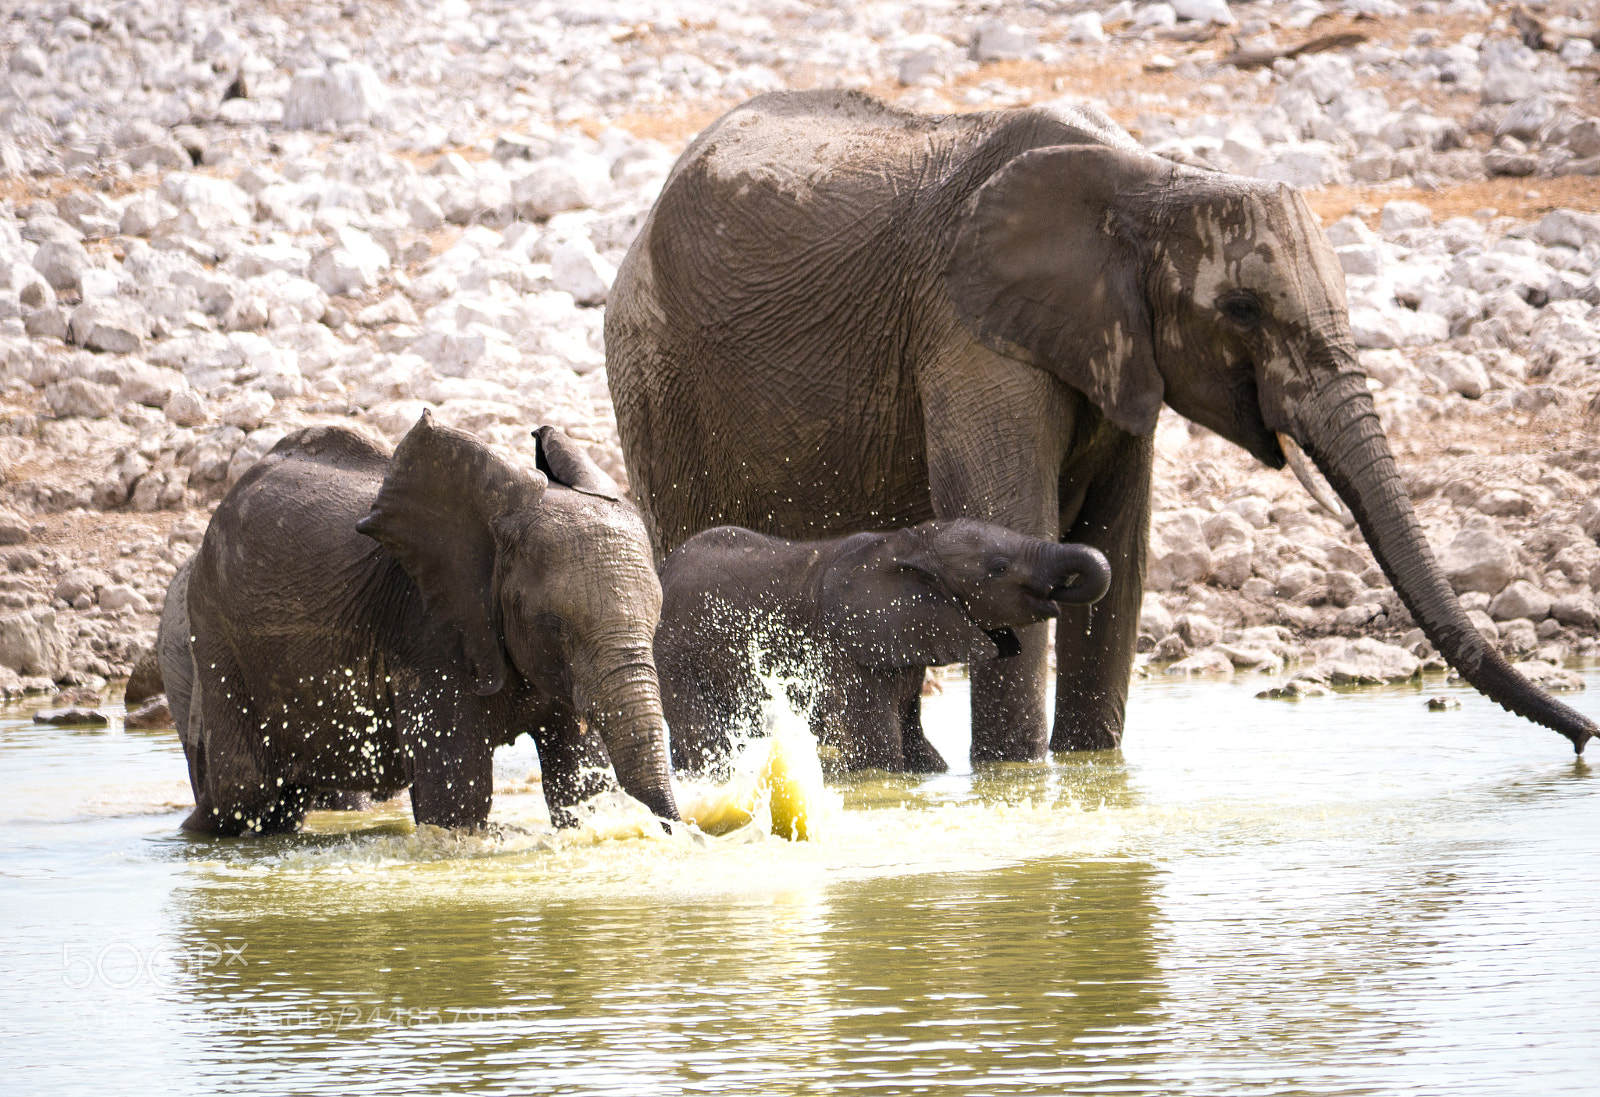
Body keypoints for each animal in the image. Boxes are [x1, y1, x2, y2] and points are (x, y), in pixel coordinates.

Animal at [174, 412, 679, 836]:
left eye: (655, 620)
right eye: (554, 624)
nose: (677, 832)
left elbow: (578, 783)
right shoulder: (428, 633)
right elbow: (457, 801)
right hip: (217, 630)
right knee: (247, 793)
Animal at [656, 519, 1111, 775]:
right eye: (998, 568)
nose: (1061, 592)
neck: (903, 544)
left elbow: (918, 746)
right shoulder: (846, 650)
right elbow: (880, 749)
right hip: (675, 657)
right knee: (704, 737)